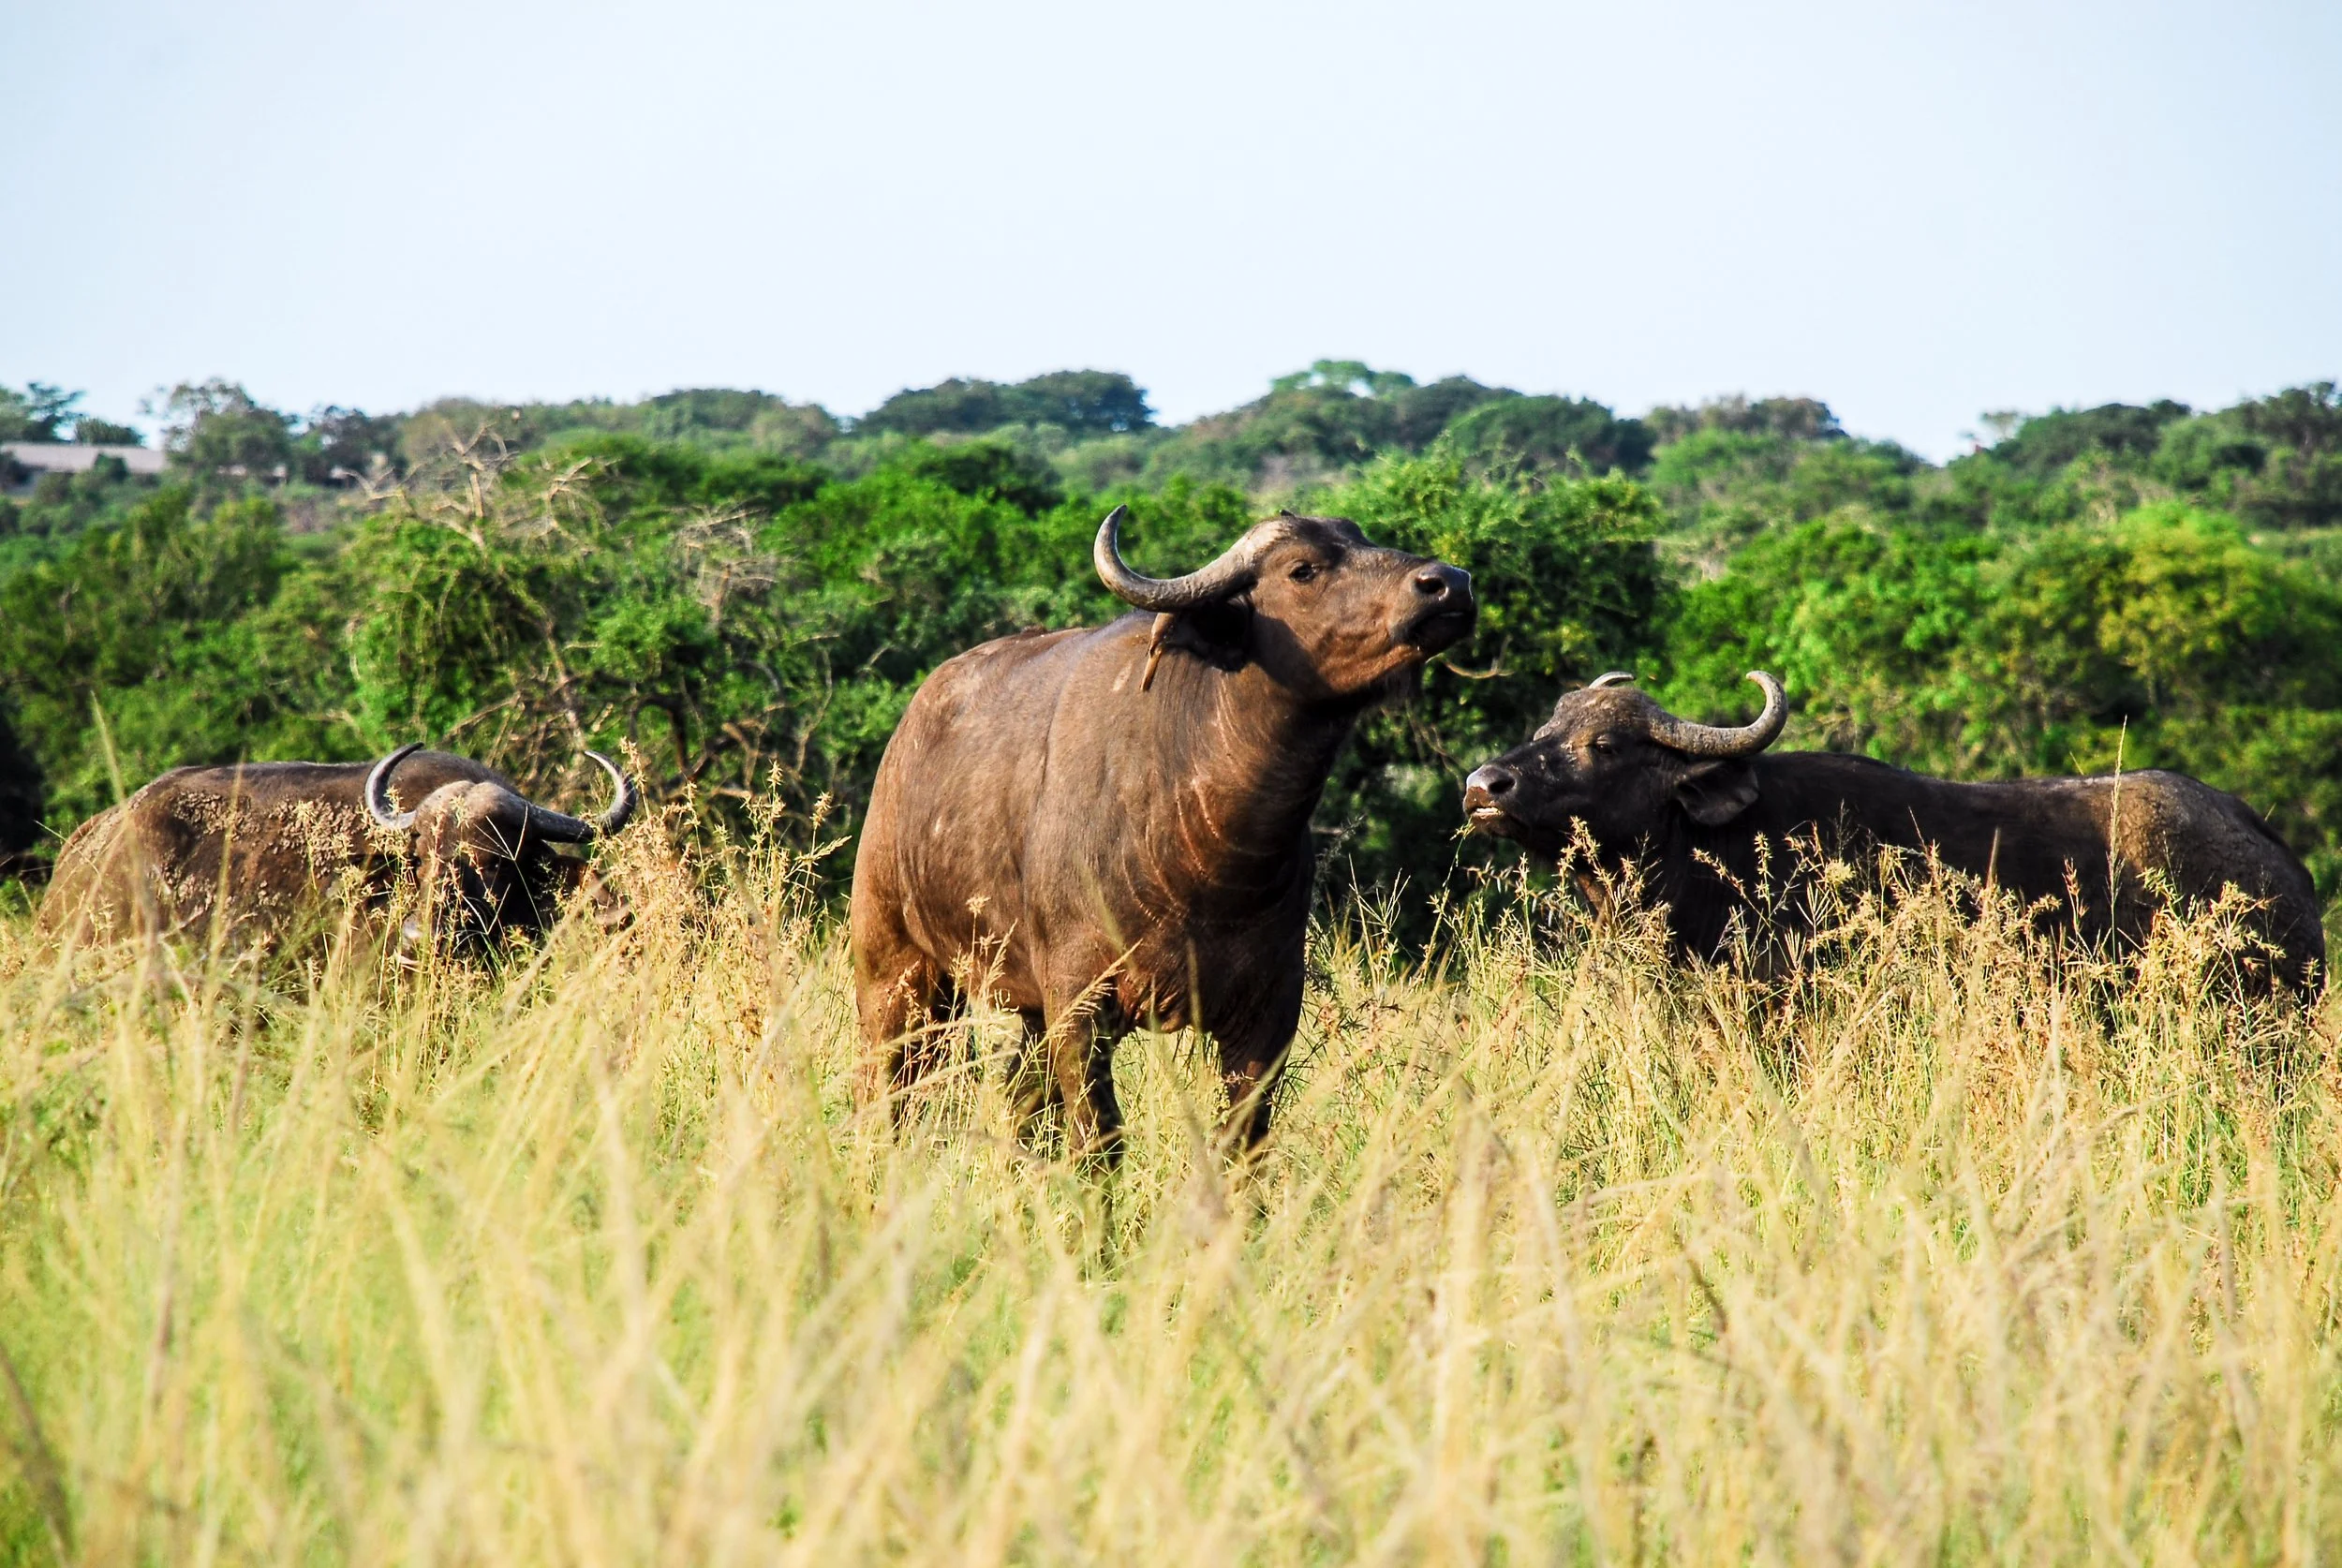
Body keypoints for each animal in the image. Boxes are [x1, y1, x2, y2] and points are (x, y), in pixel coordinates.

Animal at [852, 506, 1476, 1157]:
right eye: (1302, 569)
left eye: (1361, 537)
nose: (1450, 583)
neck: (1209, 859)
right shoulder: (1079, 1006)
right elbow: (1099, 1143)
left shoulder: (1268, 1015)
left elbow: (1241, 1142)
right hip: (895, 976)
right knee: (889, 1089)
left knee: (1023, 1102)